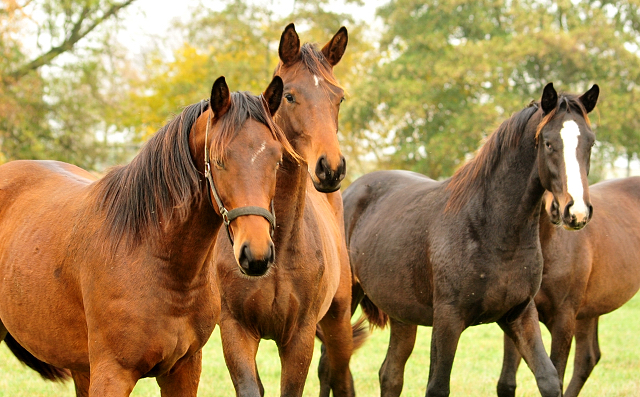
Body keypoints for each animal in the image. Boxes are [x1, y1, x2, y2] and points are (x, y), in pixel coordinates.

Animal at [211, 23, 364, 394]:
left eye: (338, 97)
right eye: (290, 96)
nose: (330, 168)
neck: (276, 245)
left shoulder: (300, 336)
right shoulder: (235, 330)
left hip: (338, 323)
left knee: (341, 377)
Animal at [342, 83, 596, 396]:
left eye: (590, 143)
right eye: (548, 143)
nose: (577, 212)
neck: (492, 231)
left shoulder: (519, 314)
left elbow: (549, 378)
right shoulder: (448, 321)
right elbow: (438, 386)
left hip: (402, 315)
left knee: (390, 375)